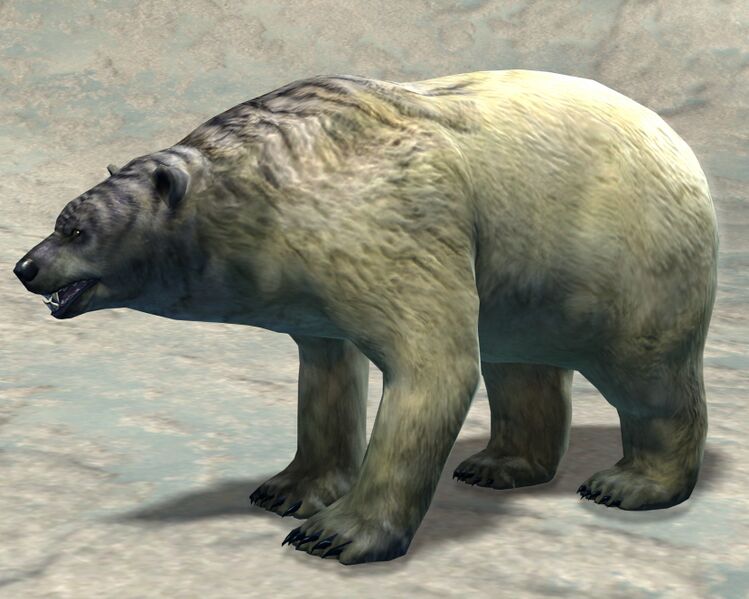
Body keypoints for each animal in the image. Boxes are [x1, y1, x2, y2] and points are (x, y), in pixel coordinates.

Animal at [14, 69, 719, 565]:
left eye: (76, 230)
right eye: (61, 216)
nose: (25, 267)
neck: (277, 193)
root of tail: (679, 142)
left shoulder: (397, 224)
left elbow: (432, 368)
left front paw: (334, 534)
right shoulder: (312, 282)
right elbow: (325, 374)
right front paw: (286, 489)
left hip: (628, 256)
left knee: (647, 373)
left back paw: (631, 483)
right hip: (524, 271)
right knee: (520, 365)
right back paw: (498, 465)